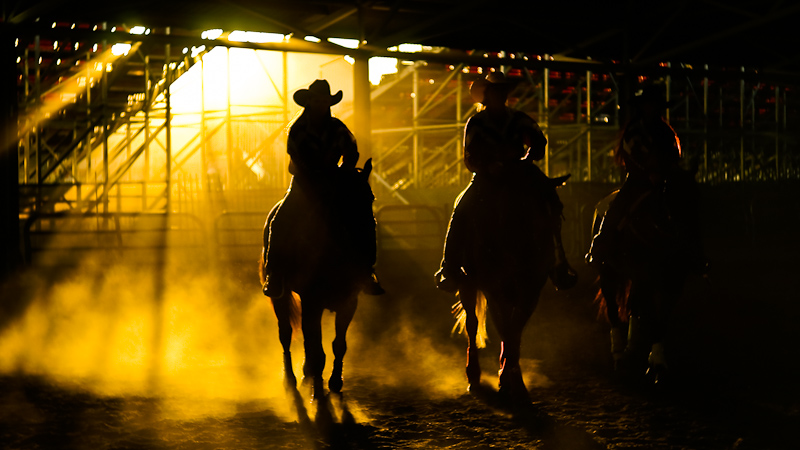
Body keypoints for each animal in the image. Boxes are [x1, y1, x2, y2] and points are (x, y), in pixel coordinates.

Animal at [260, 161, 376, 398]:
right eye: (347, 198)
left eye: (370, 198)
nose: (368, 247)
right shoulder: (312, 300)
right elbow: (317, 349)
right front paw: (318, 393)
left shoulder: (349, 302)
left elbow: (338, 344)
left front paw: (335, 381)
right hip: (280, 295)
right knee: (286, 333)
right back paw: (290, 379)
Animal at [450, 173, 568, 400]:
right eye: (532, 212)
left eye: (559, 211)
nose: (560, 270)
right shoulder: (494, 291)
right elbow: (505, 330)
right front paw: (507, 380)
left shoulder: (530, 293)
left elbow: (514, 332)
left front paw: (514, 381)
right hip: (467, 285)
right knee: (472, 324)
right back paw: (473, 376)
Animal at [588, 171, 700, 382]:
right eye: (669, 198)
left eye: (695, 199)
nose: (686, 240)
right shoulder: (645, 277)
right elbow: (650, 314)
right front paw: (654, 361)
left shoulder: (674, 283)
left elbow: (661, 318)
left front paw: (658, 362)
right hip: (608, 274)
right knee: (613, 309)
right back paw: (618, 354)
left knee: (633, 305)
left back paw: (631, 349)